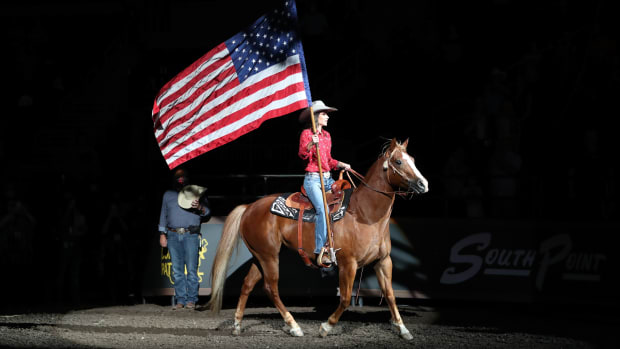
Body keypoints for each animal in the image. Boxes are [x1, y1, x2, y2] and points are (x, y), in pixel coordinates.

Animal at [206, 137, 428, 338]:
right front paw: (326, 327)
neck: (365, 214)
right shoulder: (348, 263)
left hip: (259, 255)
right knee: (271, 288)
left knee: (247, 285)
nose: (423, 184)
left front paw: (402, 329)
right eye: (398, 161)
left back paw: (237, 325)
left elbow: (390, 295)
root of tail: (249, 207)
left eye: (412, 159)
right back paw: (294, 326)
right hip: (269, 256)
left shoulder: (383, 261)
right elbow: (345, 298)